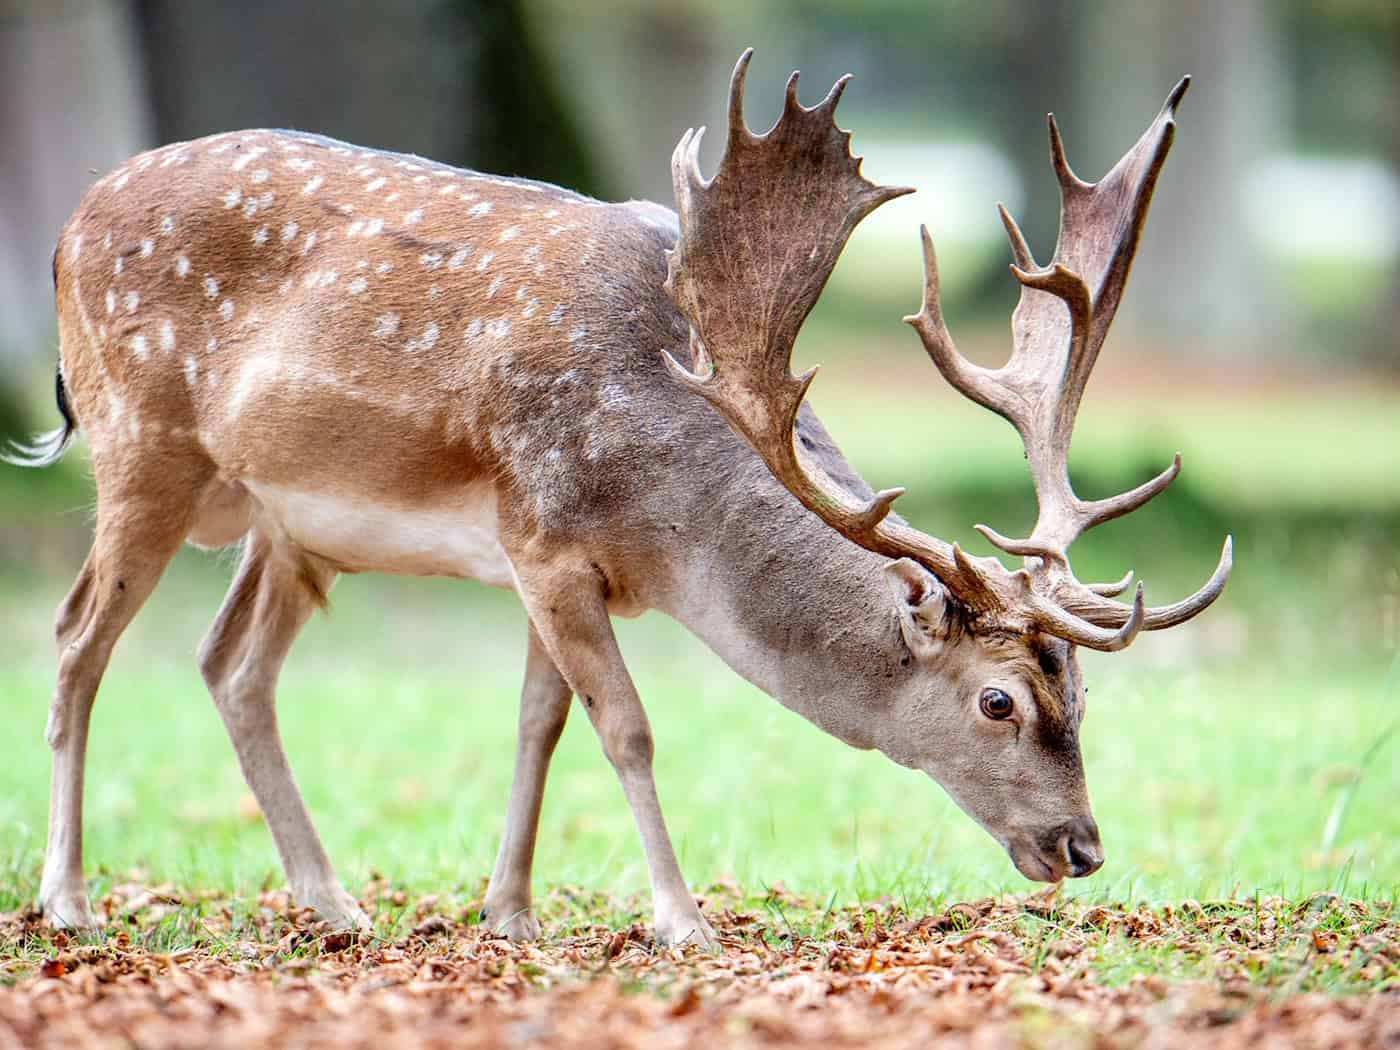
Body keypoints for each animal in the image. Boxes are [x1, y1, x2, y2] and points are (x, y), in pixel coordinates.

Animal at [7, 50, 1230, 948]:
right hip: (141, 447)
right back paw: (67, 900)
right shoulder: (543, 535)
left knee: (229, 663)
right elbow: (627, 729)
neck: (667, 522)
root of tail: (65, 232)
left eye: (1082, 694)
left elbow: (537, 722)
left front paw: (506, 912)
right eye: (997, 701)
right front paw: (682, 920)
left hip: (288, 526)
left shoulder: (551, 562)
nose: (1082, 848)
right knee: (76, 637)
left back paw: (332, 900)